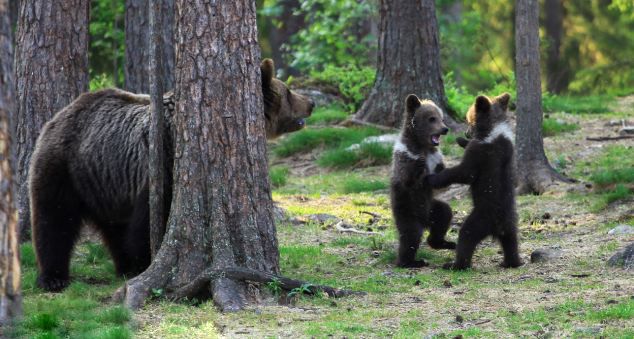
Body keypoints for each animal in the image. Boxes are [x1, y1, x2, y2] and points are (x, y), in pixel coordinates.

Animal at [30, 59, 312, 292]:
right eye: (288, 91)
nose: (311, 103)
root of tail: (60, 114)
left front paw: (138, 264)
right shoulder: (161, 168)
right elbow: (147, 224)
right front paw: (145, 262)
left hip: (105, 181)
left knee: (113, 227)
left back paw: (123, 265)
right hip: (65, 168)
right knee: (54, 219)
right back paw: (53, 277)